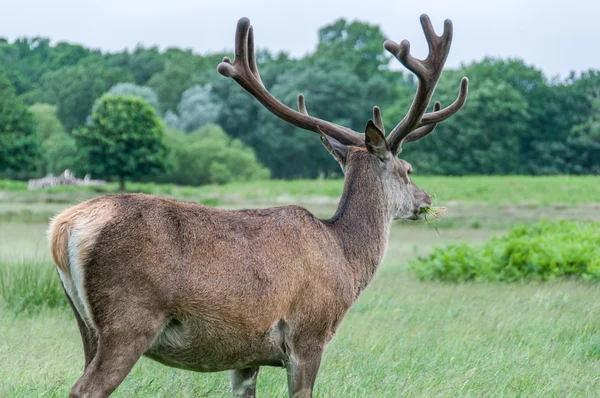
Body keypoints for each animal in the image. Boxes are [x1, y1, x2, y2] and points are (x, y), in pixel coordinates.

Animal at [48, 14, 468, 396]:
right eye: (408, 170)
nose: (427, 200)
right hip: (128, 318)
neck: (345, 259)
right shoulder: (308, 334)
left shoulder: (246, 355)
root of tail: (63, 228)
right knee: (85, 388)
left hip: (85, 322)